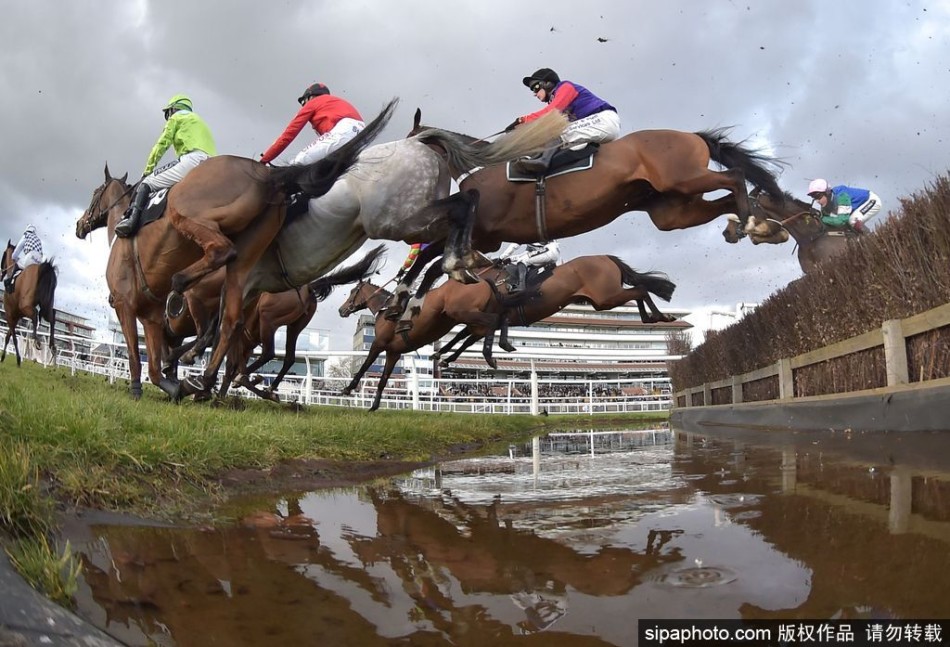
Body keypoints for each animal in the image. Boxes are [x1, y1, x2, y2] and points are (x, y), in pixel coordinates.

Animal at [75, 100, 398, 400]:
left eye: (94, 194)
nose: (80, 225)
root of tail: (268, 177)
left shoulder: (125, 304)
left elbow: (136, 353)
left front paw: (139, 387)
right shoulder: (151, 317)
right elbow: (155, 364)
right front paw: (174, 383)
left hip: (188, 216)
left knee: (220, 258)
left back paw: (182, 297)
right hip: (252, 265)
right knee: (234, 323)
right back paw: (212, 381)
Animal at [340, 253, 676, 410]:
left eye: (353, 293)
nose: (343, 310)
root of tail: (605, 258)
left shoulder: (382, 344)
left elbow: (368, 365)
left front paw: (349, 389)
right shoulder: (396, 349)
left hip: (605, 297)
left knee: (640, 289)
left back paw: (657, 316)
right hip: (602, 299)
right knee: (639, 288)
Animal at [406, 110, 784, 282]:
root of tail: (692, 135)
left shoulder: (487, 235)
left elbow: (435, 257)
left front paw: (406, 298)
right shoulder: (484, 237)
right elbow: (431, 257)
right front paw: (404, 300)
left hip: (684, 179)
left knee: (735, 177)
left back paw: (753, 222)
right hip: (673, 211)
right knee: (724, 198)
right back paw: (759, 225)